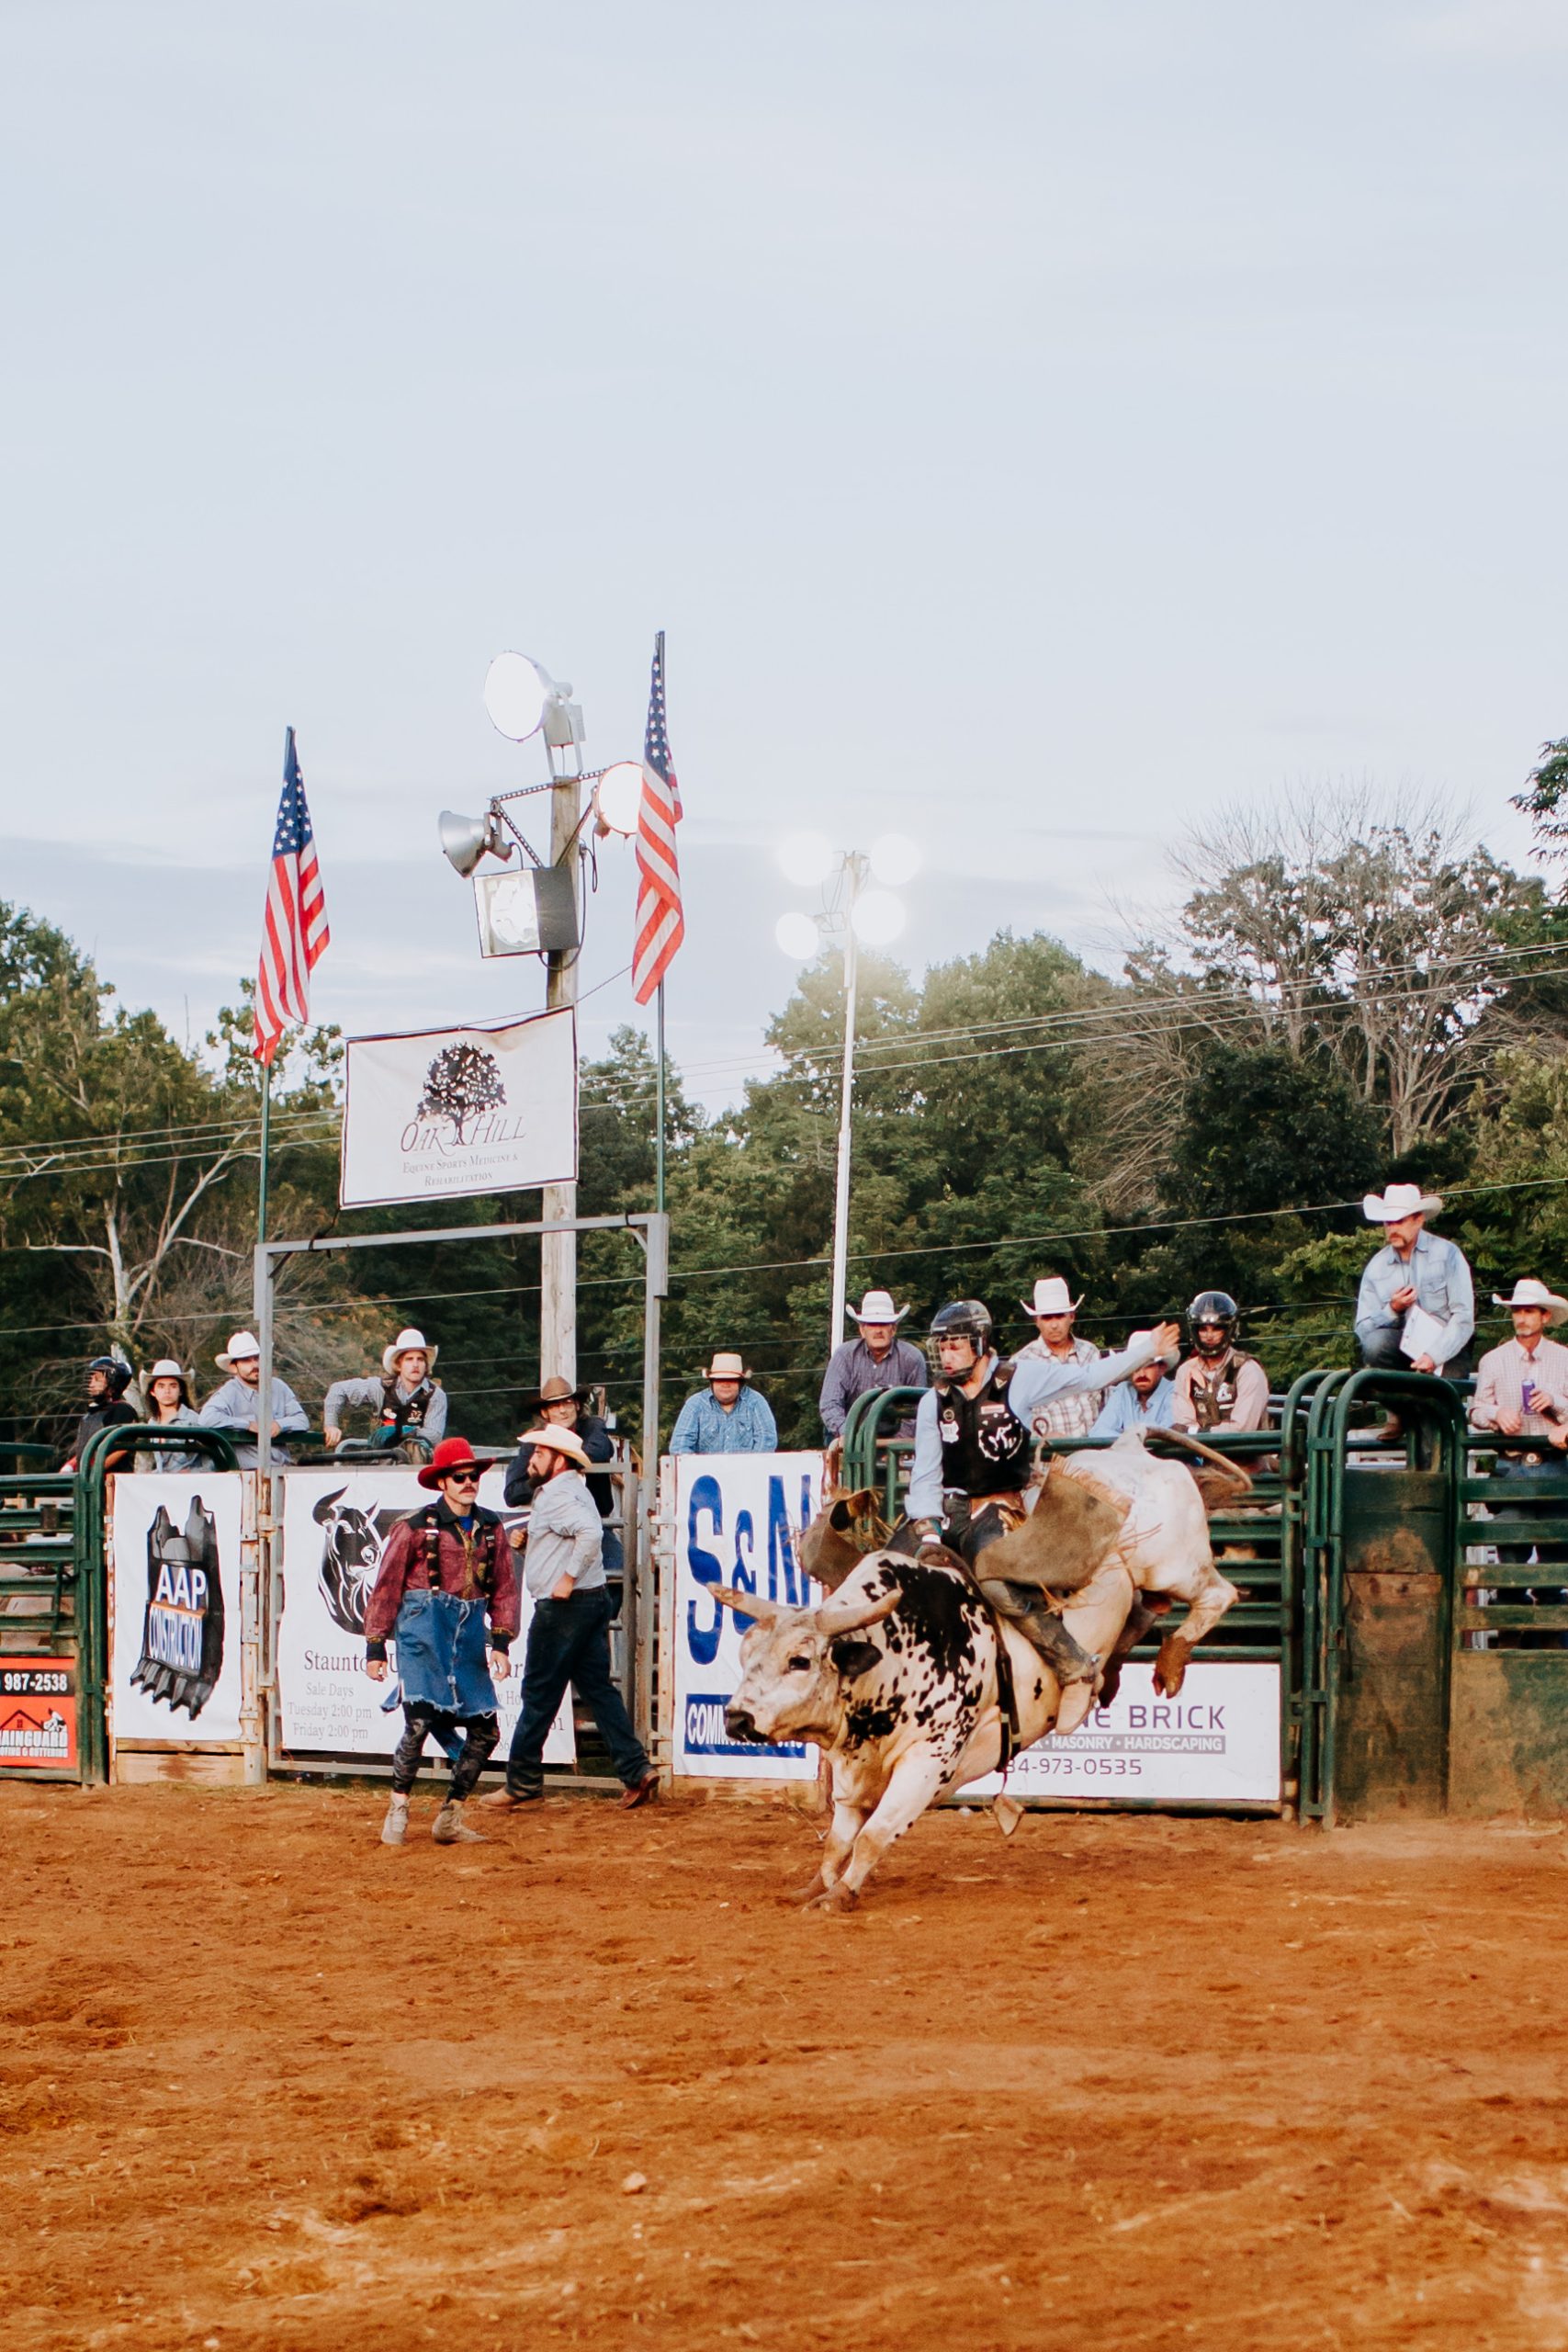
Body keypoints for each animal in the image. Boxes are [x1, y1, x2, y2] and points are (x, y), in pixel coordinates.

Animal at [715, 1543, 1142, 1909]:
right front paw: (816, 1887)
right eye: (746, 1655)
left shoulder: (927, 1763)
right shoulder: (853, 1768)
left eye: (799, 1660)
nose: (736, 1718)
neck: (894, 1660)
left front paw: (839, 1895)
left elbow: (872, 1836)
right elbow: (837, 1841)